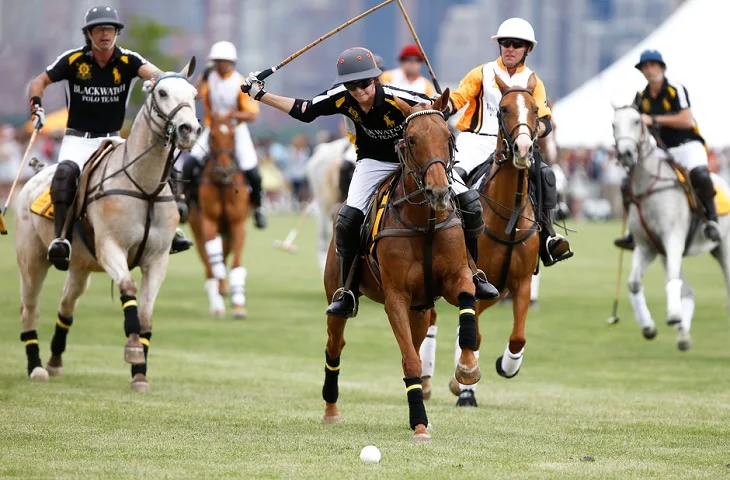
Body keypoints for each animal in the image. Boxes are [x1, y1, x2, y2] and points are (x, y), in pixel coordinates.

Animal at [14, 59, 200, 390]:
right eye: (162, 92)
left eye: (194, 94)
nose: (189, 130)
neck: (144, 186)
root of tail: (34, 176)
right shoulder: (110, 248)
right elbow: (128, 288)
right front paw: (134, 350)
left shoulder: (158, 259)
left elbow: (147, 312)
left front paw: (140, 373)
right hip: (32, 260)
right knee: (29, 308)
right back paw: (36, 367)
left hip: (79, 267)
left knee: (66, 304)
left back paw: (55, 361)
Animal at [189, 116, 249, 318]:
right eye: (212, 136)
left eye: (232, 135)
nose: (224, 171)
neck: (223, 185)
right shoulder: (208, 221)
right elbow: (214, 260)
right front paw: (221, 290)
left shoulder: (238, 224)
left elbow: (236, 262)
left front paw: (239, 306)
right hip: (196, 227)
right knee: (208, 263)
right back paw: (216, 302)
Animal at [318, 88, 478, 440]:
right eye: (412, 139)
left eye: (448, 136)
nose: (438, 192)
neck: (425, 222)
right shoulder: (396, 298)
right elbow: (410, 362)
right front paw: (419, 425)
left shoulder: (456, 278)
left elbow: (467, 301)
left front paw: (468, 368)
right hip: (338, 293)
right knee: (335, 345)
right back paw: (331, 410)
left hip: (421, 310)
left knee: (415, 344)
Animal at [608, 107, 728, 350]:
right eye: (613, 125)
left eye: (637, 122)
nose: (626, 154)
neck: (648, 186)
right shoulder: (647, 246)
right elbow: (634, 283)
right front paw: (649, 327)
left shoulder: (673, 238)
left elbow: (671, 279)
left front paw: (673, 315)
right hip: (666, 253)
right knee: (688, 291)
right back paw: (683, 337)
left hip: (723, 247)